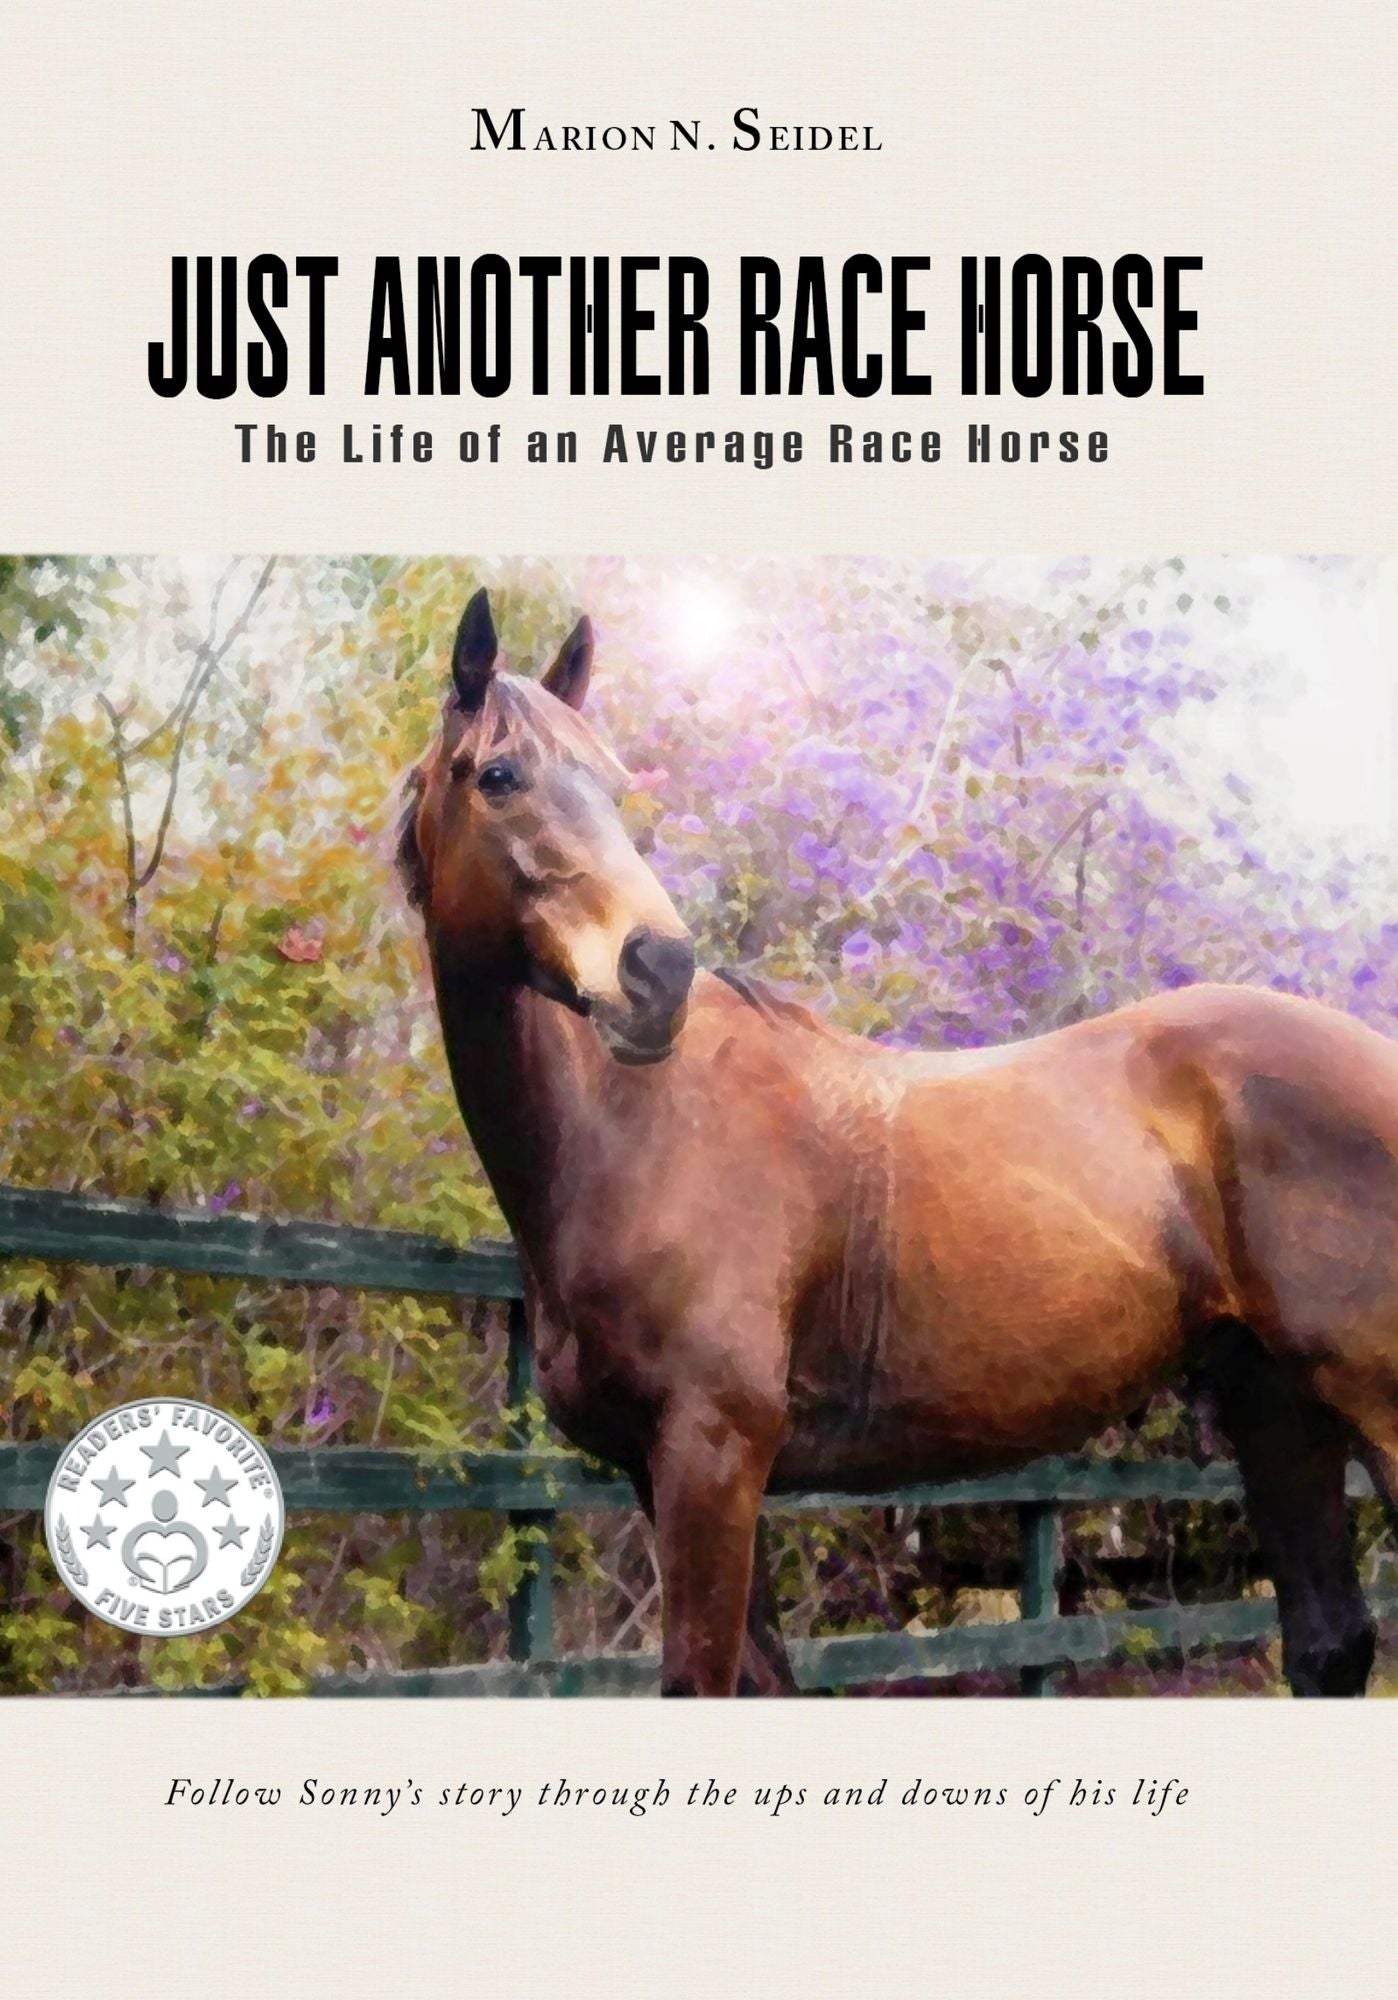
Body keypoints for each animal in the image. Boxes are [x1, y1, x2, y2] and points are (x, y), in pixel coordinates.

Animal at [399, 586, 1398, 1697]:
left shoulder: (711, 1454)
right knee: (1328, 1641)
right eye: (498, 776)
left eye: (613, 787)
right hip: (1279, 1410)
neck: (634, 1134)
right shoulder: (672, 1475)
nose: (656, 973)